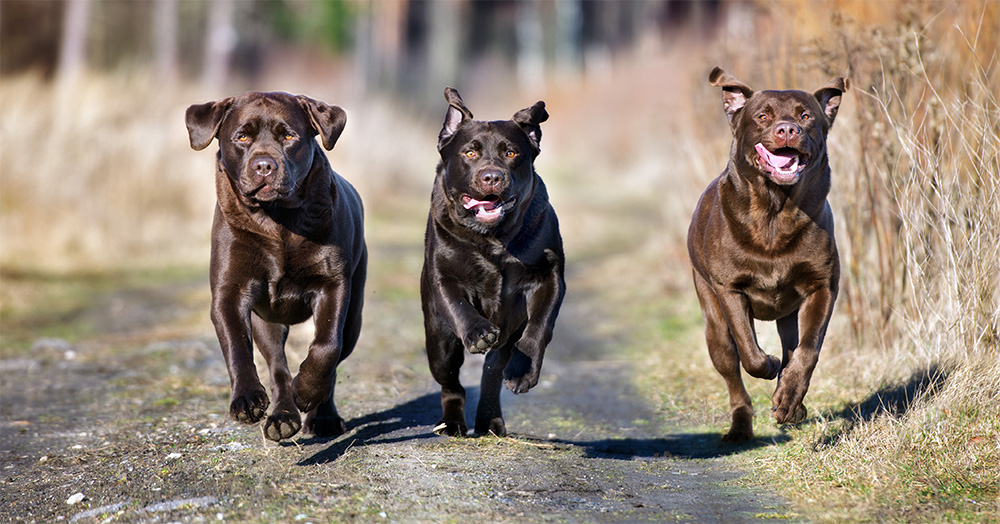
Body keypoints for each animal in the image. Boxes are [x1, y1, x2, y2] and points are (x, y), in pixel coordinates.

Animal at [186, 91, 366, 442]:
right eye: (242, 137)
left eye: (288, 136)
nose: (264, 165)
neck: (277, 219)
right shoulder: (229, 292)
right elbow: (236, 347)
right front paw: (246, 400)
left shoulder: (333, 285)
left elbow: (326, 346)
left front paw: (307, 390)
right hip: (266, 322)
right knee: (278, 366)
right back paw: (283, 417)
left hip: (354, 317)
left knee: (334, 358)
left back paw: (322, 417)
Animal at [418, 87, 568, 438]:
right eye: (470, 152)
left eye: (511, 153)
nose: (492, 177)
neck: (494, 238)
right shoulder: (443, 276)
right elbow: (459, 305)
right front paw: (478, 332)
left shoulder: (549, 276)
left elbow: (540, 326)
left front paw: (523, 372)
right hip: (439, 341)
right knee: (451, 381)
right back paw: (453, 422)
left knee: (492, 368)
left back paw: (490, 420)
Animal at [688, 66, 852, 442]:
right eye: (762, 116)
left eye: (806, 116)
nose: (787, 129)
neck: (775, 211)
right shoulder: (729, 290)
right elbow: (750, 353)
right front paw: (770, 365)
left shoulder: (823, 286)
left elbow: (808, 349)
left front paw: (788, 399)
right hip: (712, 320)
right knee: (732, 368)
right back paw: (739, 427)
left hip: (788, 314)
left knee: (793, 344)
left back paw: (792, 401)